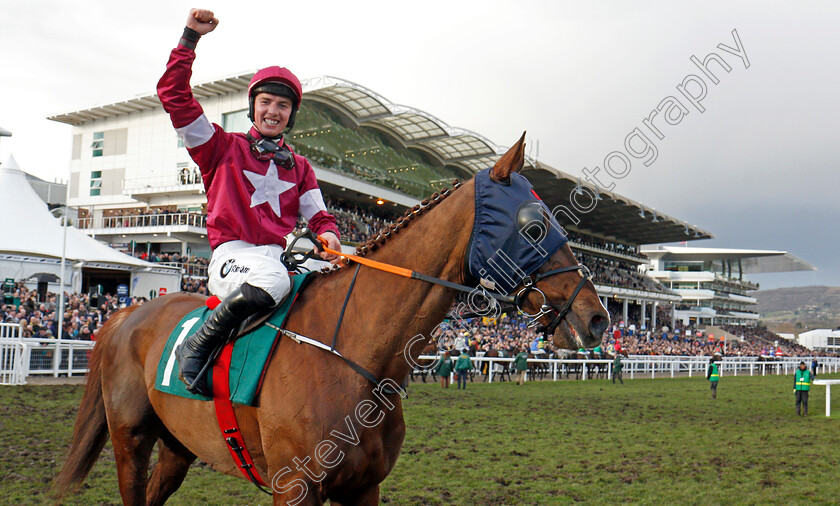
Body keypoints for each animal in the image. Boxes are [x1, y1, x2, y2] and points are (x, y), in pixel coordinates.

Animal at [55, 135, 608, 506]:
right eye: (534, 226)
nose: (598, 318)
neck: (354, 357)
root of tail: (128, 312)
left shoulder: (364, 488)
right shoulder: (295, 487)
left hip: (177, 446)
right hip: (131, 440)